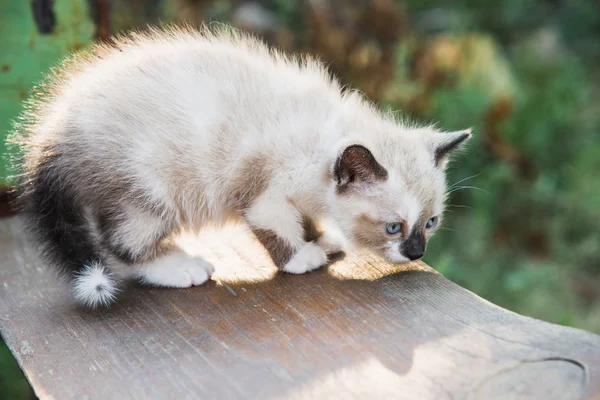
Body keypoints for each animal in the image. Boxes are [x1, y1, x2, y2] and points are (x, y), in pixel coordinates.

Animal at [7, 25, 472, 308]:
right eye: (393, 227)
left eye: (431, 223)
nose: (416, 253)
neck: (321, 144)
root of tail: (52, 134)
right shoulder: (266, 196)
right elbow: (276, 229)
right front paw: (303, 257)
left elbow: (306, 219)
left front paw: (322, 239)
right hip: (150, 191)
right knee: (122, 244)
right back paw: (180, 268)